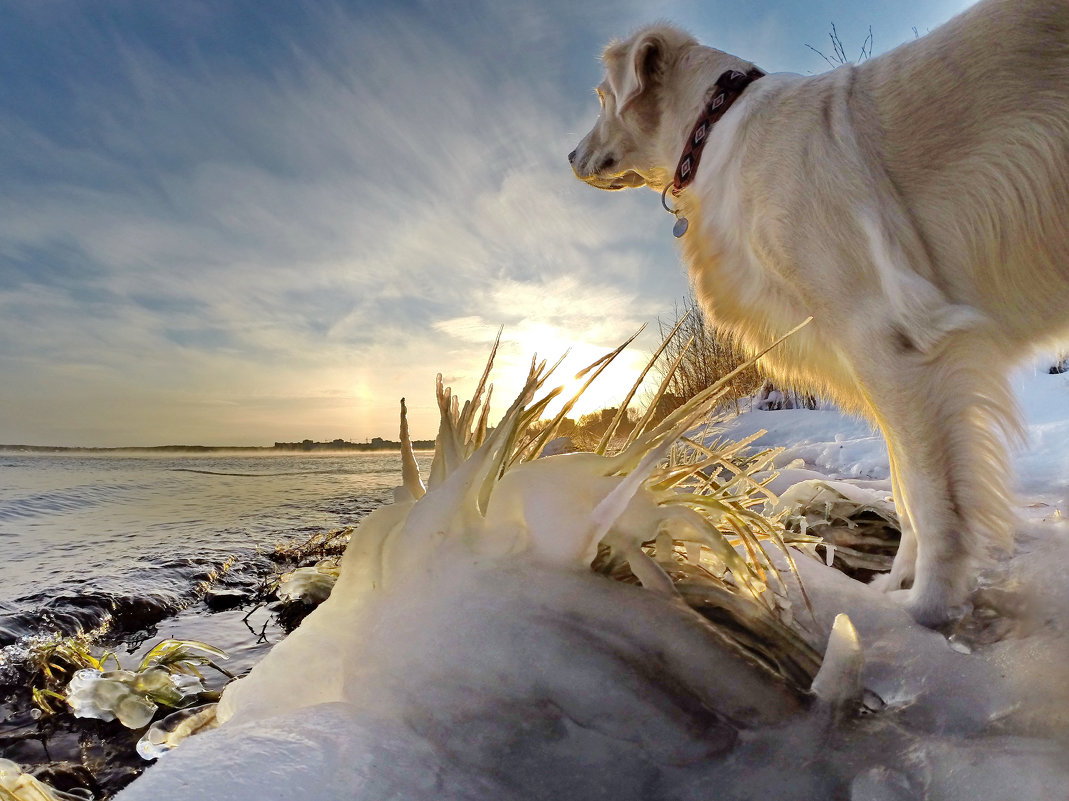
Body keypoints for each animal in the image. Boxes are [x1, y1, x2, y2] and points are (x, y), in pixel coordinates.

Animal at [572, 0, 1069, 624]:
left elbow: (931, 498)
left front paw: (924, 610)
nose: (569, 157)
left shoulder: (883, 334)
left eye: (600, 97)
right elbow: (904, 489)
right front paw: (892, 588)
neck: (715, 125)